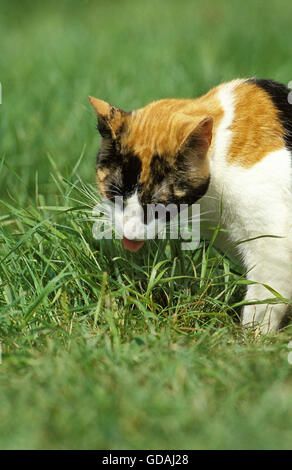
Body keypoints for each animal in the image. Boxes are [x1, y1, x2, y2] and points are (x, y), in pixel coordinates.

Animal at [89, 78, 292, 334]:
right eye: (115, 195)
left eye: (159, 205)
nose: (130, 233)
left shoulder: (272, 245)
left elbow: (264, 300)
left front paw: (251, 338)